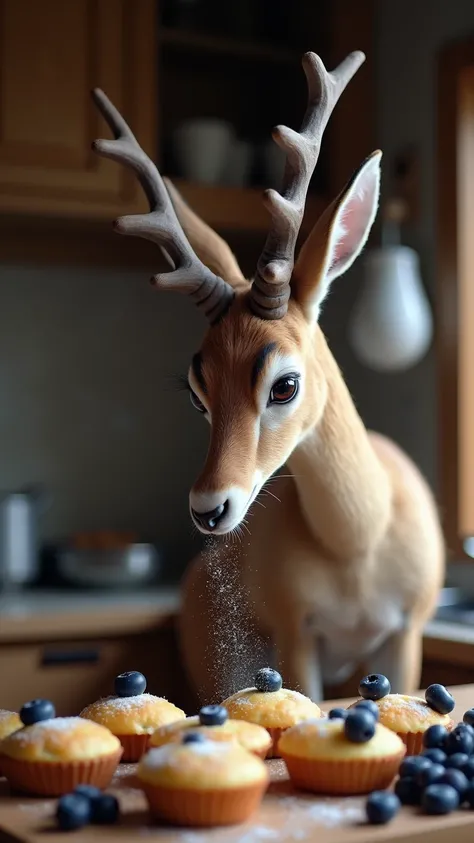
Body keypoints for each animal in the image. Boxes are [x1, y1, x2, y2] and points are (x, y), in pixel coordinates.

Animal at [91, 47, 444, 704]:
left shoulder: (406, 636)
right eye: (198, 393)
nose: (209, 508)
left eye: (285, 384)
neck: (359, 539)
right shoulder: (297, 634)